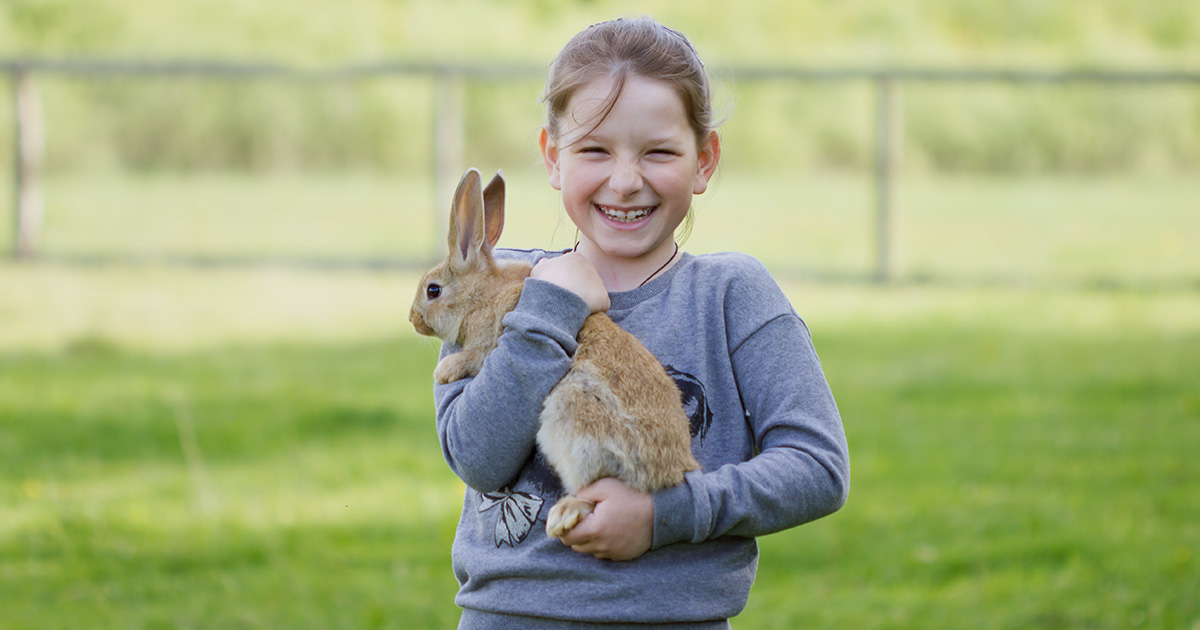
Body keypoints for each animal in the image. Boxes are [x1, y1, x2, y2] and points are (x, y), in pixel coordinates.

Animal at [410, 169, 700, 537]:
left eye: (433, 291)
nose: (412, 319)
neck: (482, 295)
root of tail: (672, 472)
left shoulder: (491, 338)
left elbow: (475, 357)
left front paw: (445, 369)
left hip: (574, 416)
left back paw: (566, 513)